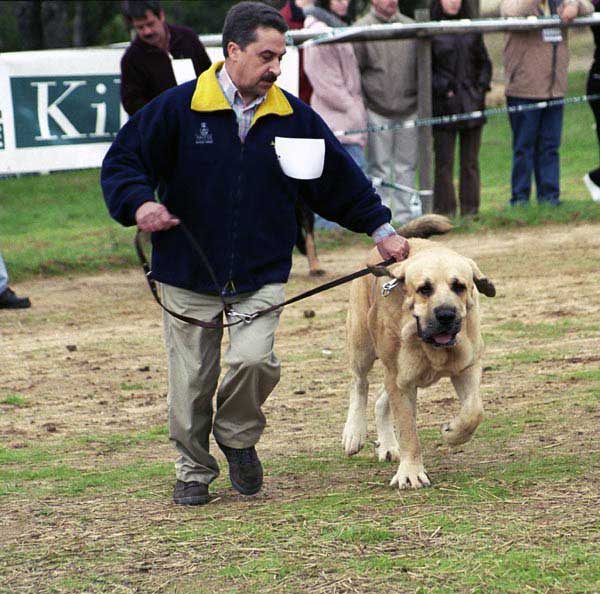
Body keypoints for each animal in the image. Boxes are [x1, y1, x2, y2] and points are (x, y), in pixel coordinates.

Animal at [342, 215, 496, 488]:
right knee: (359, 383)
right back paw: (354, 433)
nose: (446, 314)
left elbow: (474, 411)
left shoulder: (467, 367)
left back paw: (388, 446)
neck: (430, 346)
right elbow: (408, 430)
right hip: (362, 345)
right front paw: (411, 473)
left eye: (459, 286)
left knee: (380, 401)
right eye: (425, 289)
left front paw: (453, 433)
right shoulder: (401, 381)